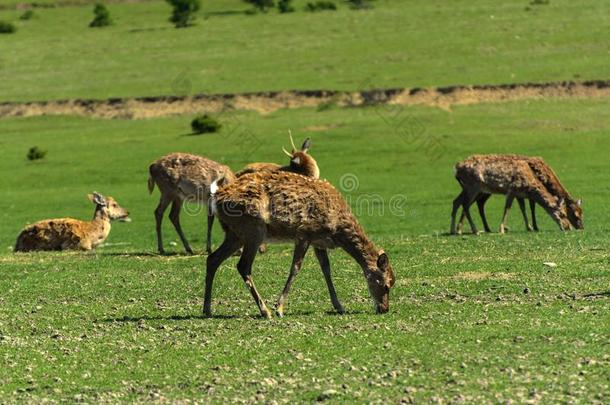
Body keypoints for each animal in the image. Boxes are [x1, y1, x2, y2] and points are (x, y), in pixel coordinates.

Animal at [204, 169, 394, 318]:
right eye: (386, 285)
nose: (384, 308)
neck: (337, 227)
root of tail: (216, 198)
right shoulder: (304, 233)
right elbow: (295, 267)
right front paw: (279, 308)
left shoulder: (319, 242)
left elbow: (326, 270)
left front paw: (339, 306)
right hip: (254, 229)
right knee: (243, 266)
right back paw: (265, 311)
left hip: (234, 234)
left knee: (213, 258)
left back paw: (207, 309)